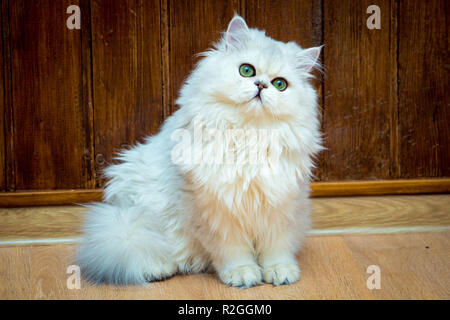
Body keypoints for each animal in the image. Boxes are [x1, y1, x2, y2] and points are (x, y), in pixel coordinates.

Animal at [78, 15, 324, 288]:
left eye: (280, 84)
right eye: (246, 70)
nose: (261, 85)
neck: (249, 136)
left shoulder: (281, 208)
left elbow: (276, 248)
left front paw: (281, 271)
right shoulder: (217, 211)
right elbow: (234, 251)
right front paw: (243, 274)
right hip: (139, 220)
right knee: (146, 251)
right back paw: (158, 269)